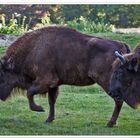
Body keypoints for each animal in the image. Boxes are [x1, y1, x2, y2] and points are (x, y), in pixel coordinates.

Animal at [0, 25, 130, 127]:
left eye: (2, 74)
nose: (1, 96)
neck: (33, 48)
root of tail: (121, 44)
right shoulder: (53, 85)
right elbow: (51, 101)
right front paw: (49, 119)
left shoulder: (45, 80)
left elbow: (30, 93)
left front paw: (40, 109)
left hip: (106, 82)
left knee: (118, 100)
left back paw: (110, 123)